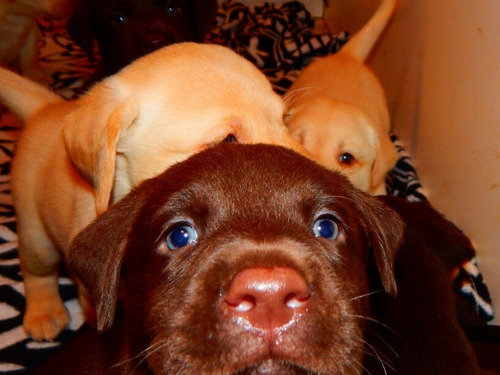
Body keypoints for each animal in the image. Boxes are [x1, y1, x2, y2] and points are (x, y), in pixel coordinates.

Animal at [0, 41, 308, 340]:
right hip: (36, 233)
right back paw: (43, 313)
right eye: (227, 142)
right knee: (35, 270)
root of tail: (45, 109)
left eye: (285, 121)